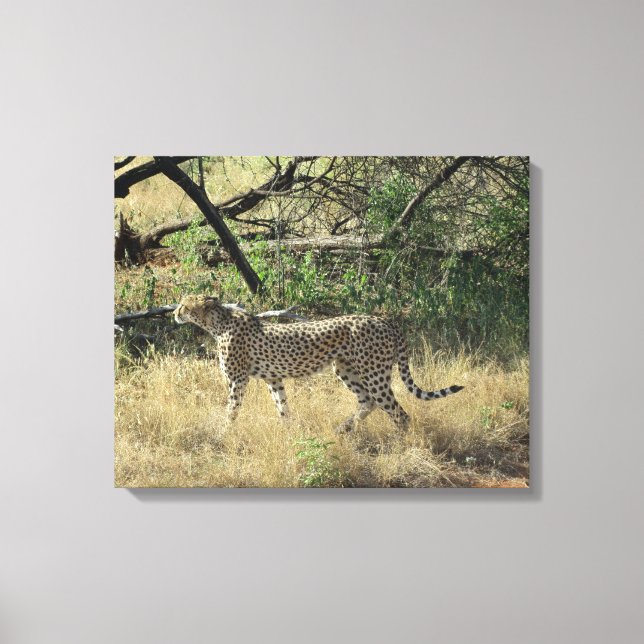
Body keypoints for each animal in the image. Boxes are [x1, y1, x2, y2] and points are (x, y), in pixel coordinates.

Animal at [174, 294, 463, 432]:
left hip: (374, 374)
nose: (174, 312)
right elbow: (282, 406)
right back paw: (342, 429)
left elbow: (232, 409)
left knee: (397, 412)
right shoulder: (273, 378)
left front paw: (223, 433)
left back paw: (400, 444)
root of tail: (384, 320)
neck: (217, 322)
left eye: (184, 304)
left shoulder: (237, 379)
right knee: (368, 402)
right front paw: (289, 431)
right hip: (344, 368)